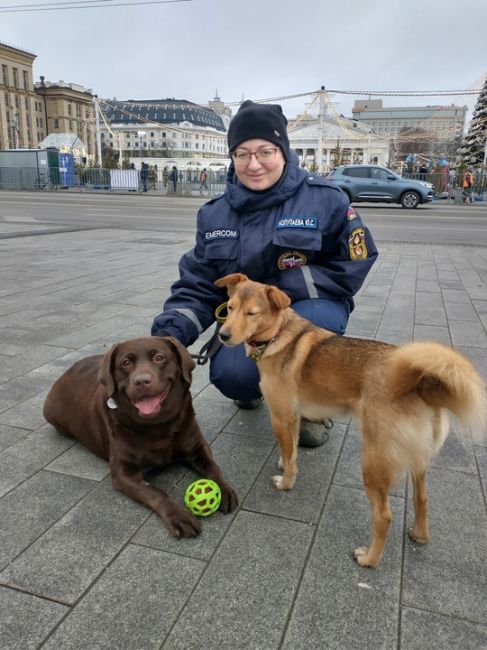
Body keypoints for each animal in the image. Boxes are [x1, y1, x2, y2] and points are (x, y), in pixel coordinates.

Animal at [216, 270, 487, 564]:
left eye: (252, 313)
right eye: (229, 308)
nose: (223, 335)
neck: (278, 336)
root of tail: (421, 383)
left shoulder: (282, 416)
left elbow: (290, 459)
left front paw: (286, 482)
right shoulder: (294, 418)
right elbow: (291, 451)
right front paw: (282, 463)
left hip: (374, 462)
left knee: (384, 516)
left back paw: (369, 558)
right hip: (417, 460)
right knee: (422, 499)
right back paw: (419, 534)